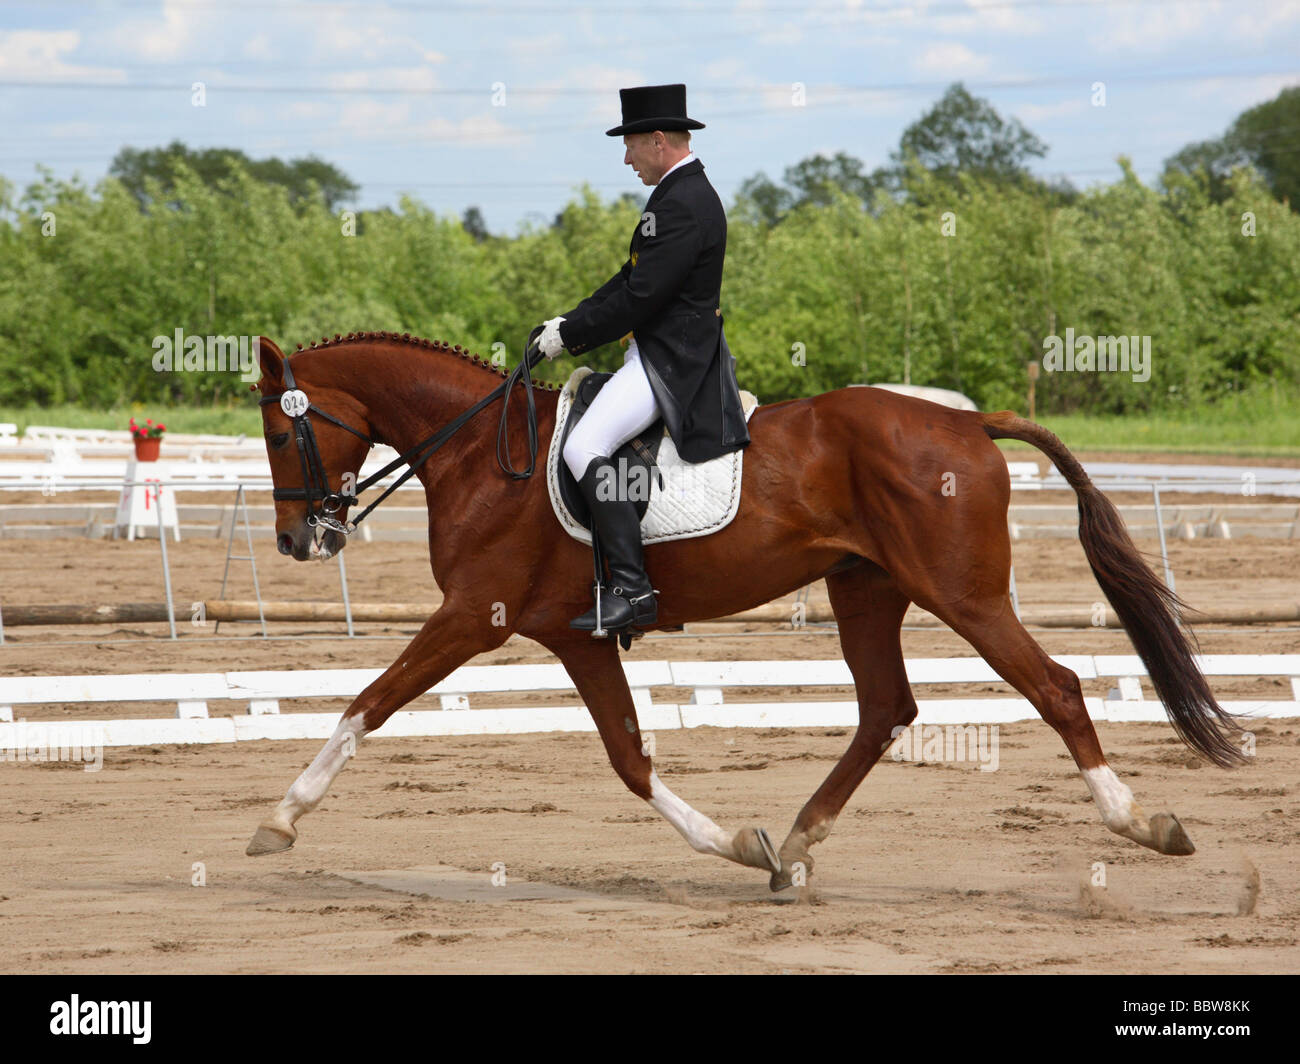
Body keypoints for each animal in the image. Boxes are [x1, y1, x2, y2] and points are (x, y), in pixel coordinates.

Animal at [245, 331, 1243, 891]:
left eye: (280, 427)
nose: (298, 541)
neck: (484, 455)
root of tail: (968, 422)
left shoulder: (471, 616)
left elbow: (365, 706)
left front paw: (280, 821)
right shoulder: (573, 638)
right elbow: (630, 762)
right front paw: (737, 844)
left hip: (961, 595)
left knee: (1057, 687)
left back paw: (1143, 825)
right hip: (865, 590)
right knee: (886, 709)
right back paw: (796, 846)